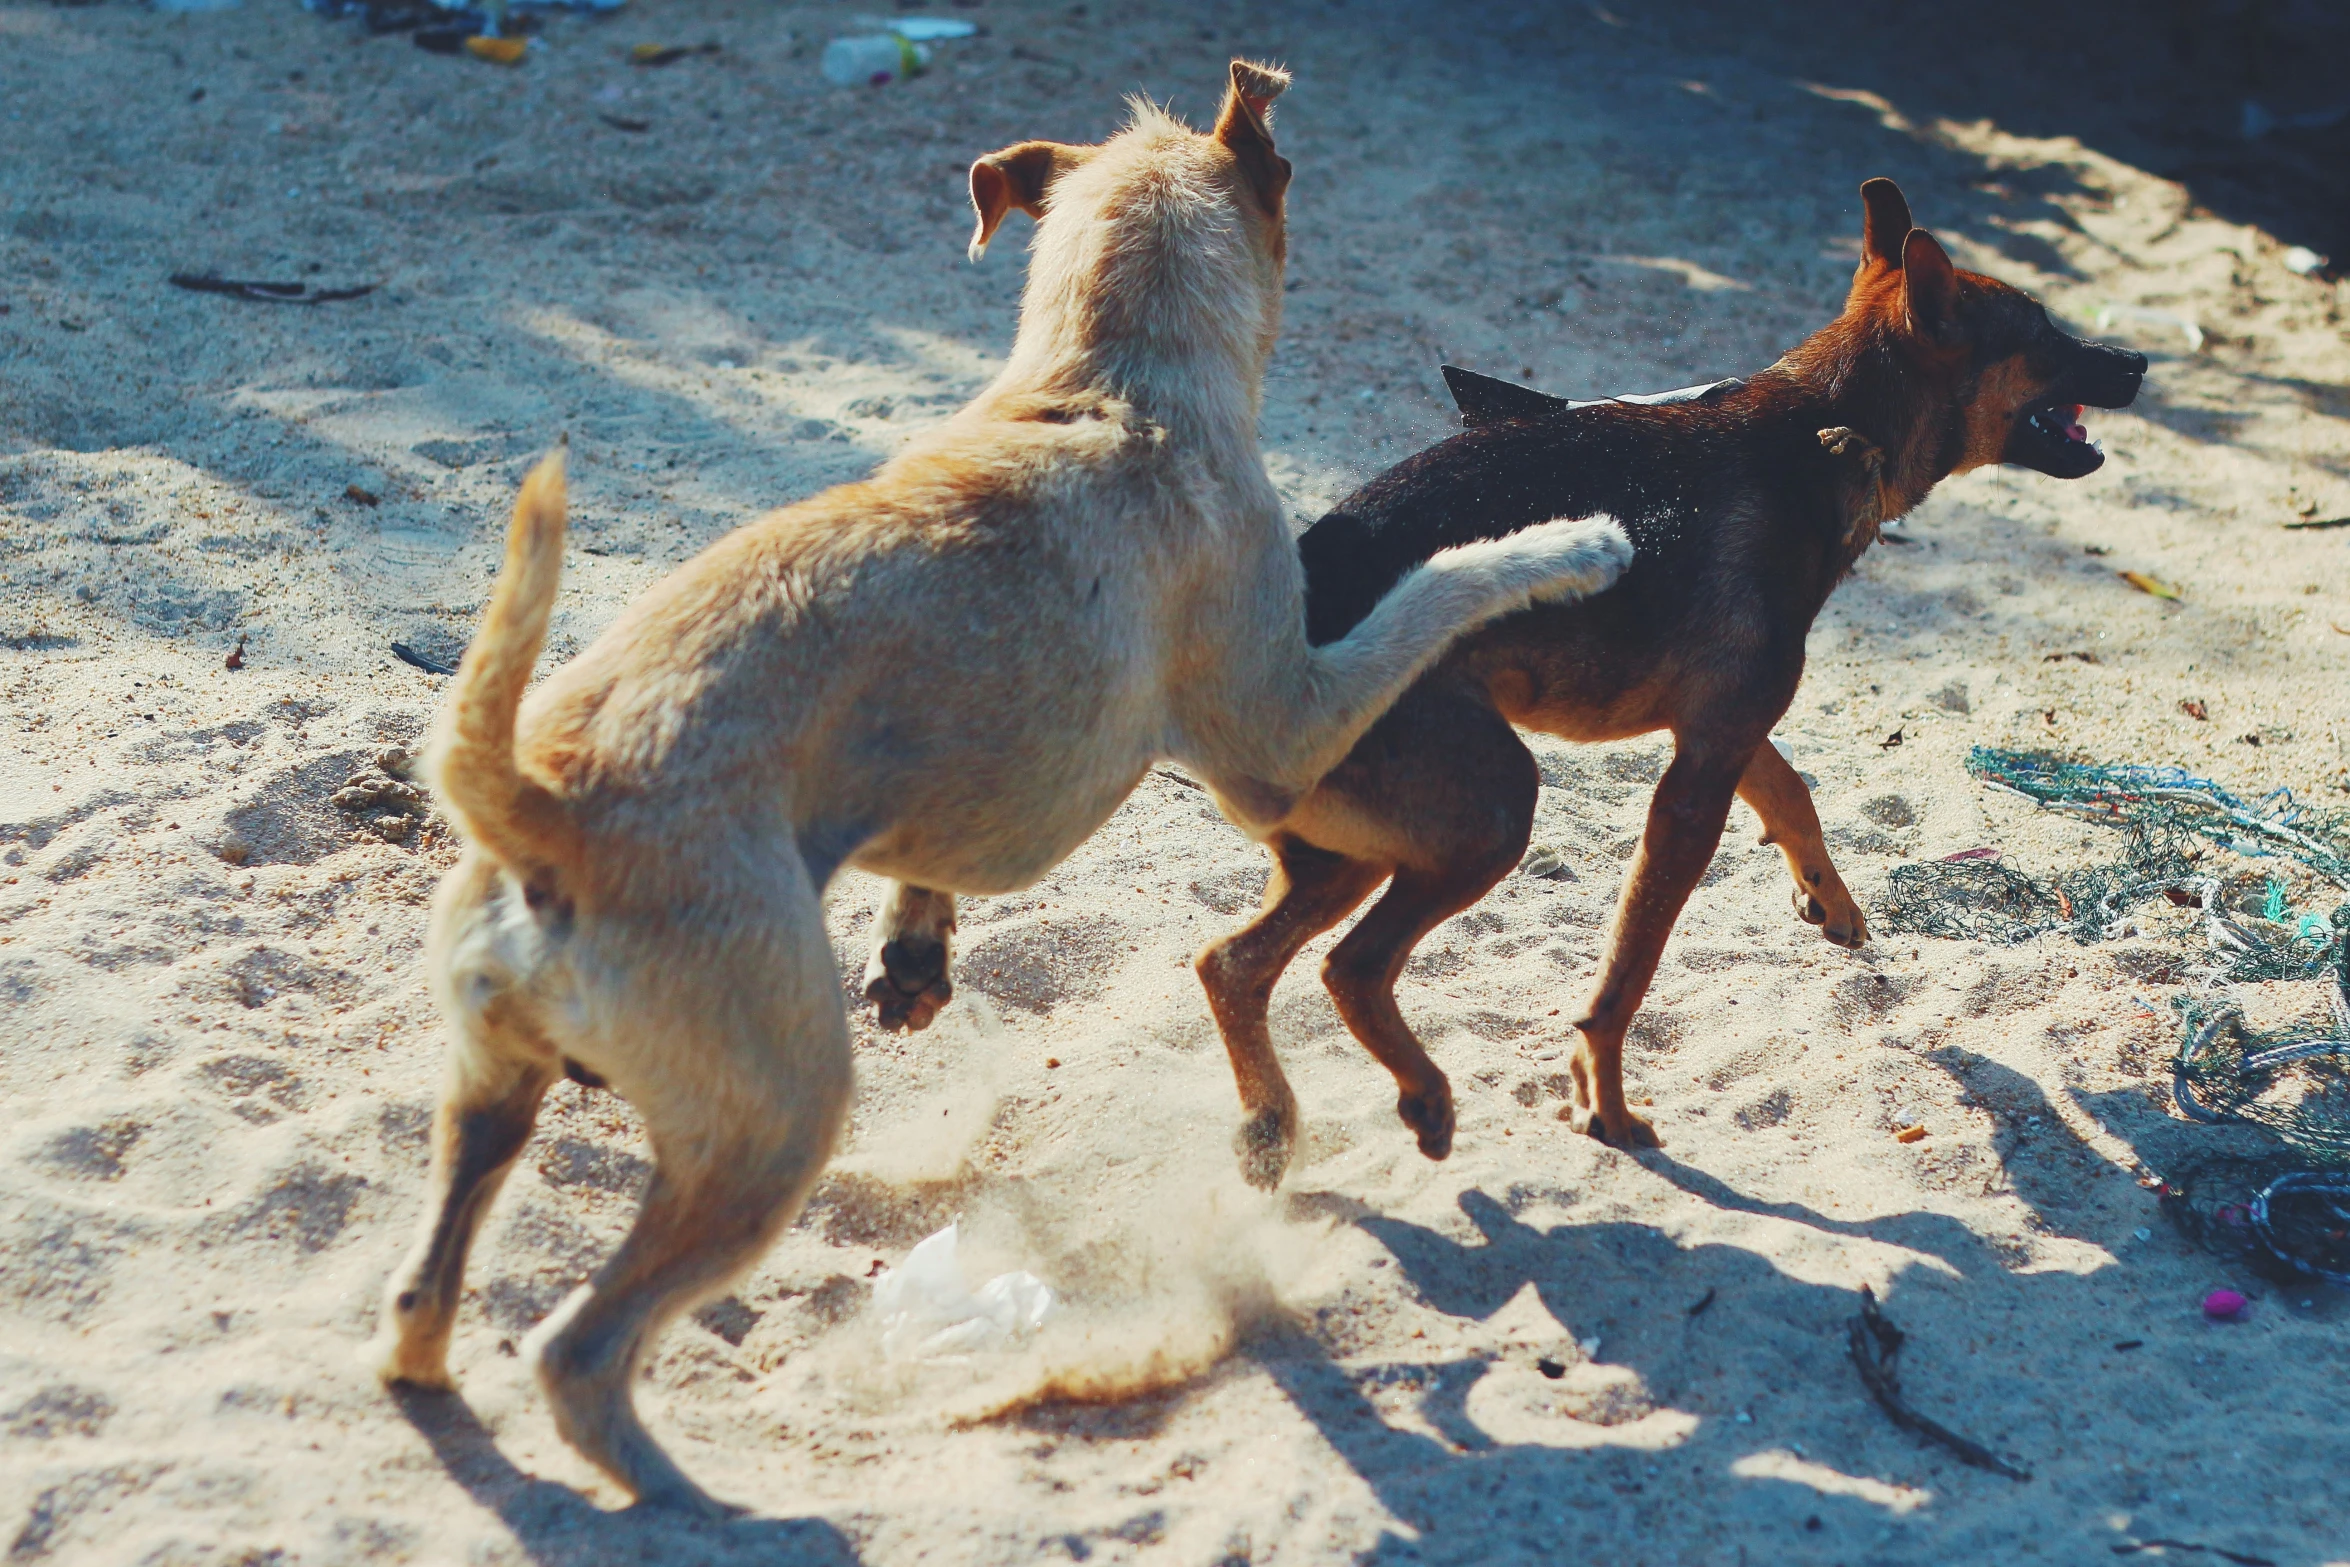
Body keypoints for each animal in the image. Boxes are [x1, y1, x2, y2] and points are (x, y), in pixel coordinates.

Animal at [366, 64, 1626, 1522]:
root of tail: (544, 806)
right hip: (769, 1125)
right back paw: (707, 1508)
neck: (1106, 378)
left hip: (490, 1093)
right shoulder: (1282, 728)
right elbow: (1439, 584)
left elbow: (926, 854)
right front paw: (1572, 543)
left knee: (423, 1298)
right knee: (577, 1350)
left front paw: (916, 952)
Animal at [1193, 177, 2152, 1184]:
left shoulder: (1719, 730)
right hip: (1493, 809)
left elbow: (1793, 790)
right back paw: (1421, 1095)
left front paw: (1831, 897)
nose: (2137, 359)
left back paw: (1271, 1127)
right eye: (2043, 334)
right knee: (1351, 967)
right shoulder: (1692, 789)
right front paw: (1606, 1105)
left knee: (1232, 964)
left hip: (1355, 853)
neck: (1824, 429)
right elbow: (1625, 975)